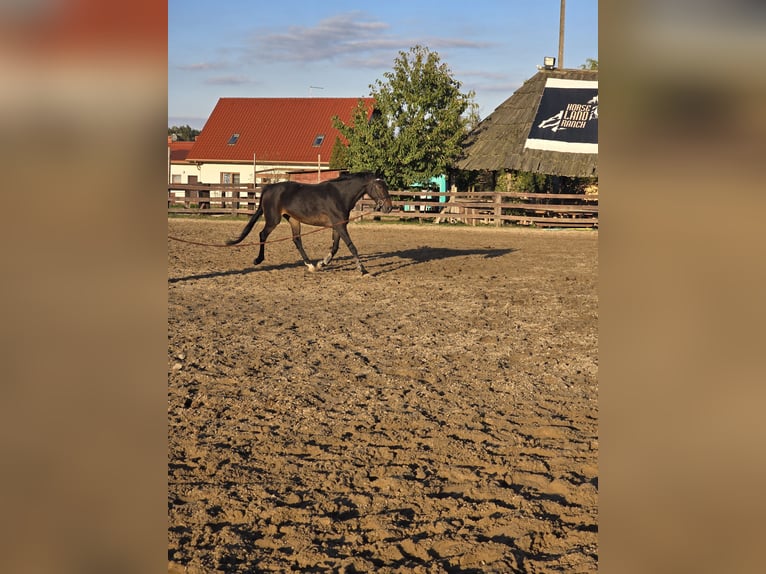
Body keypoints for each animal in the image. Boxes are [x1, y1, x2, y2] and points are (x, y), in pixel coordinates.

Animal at [225, 172, 392, 276]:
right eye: (379, 186)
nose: (388, 207)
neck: (339, 195)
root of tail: (268, 188)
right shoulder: (340, 225)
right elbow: (351, 246)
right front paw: (363, 270)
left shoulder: (338, 225)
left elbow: (335, 247)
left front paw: (321, 263)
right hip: (273, 220)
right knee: (263, 235)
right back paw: (258, 259)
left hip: (293, 219)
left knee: (297, 240)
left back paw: (310, 265)